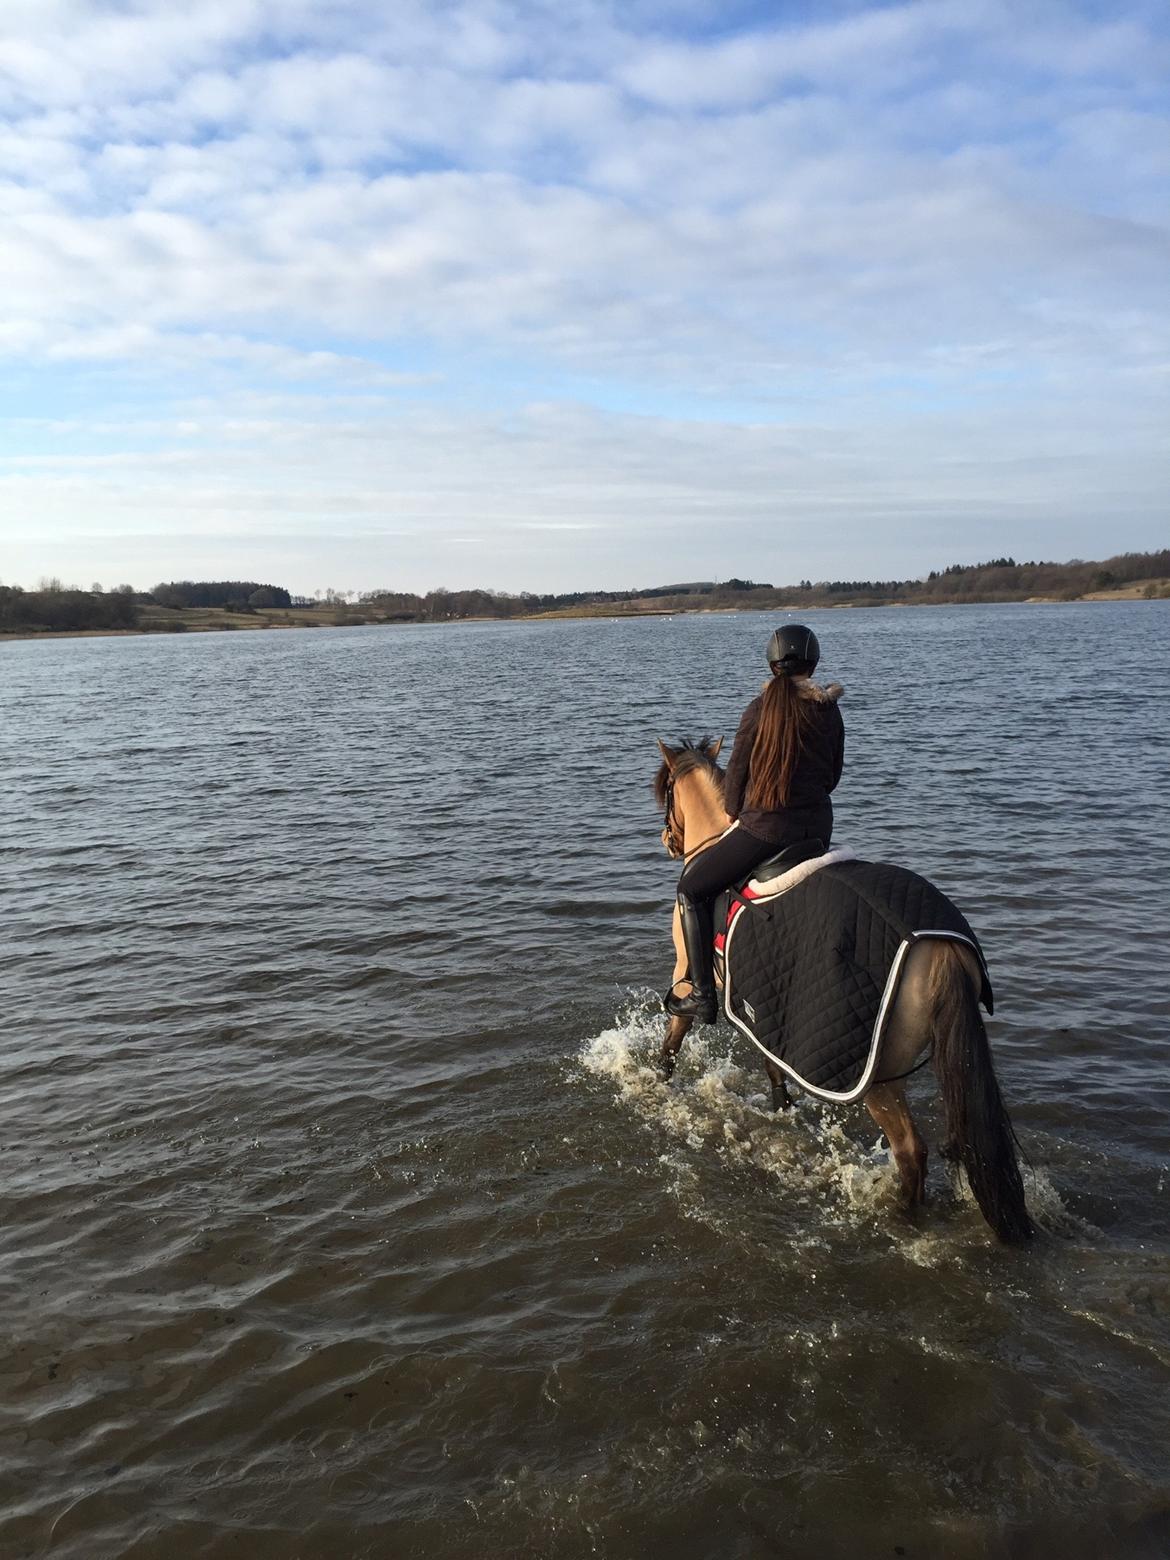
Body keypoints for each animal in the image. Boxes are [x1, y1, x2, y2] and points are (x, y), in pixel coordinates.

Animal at [654, 737, 1033, 1244]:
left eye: (667, 791)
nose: (668, 840)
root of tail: (937, 946)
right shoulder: (760, 1001)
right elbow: (770, 1061)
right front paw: (781, 1106)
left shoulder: (691, 972)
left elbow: (675, 1033)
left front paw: (656, 1081)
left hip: (873, 1073)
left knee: (911, 1150)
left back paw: (900, 1218)